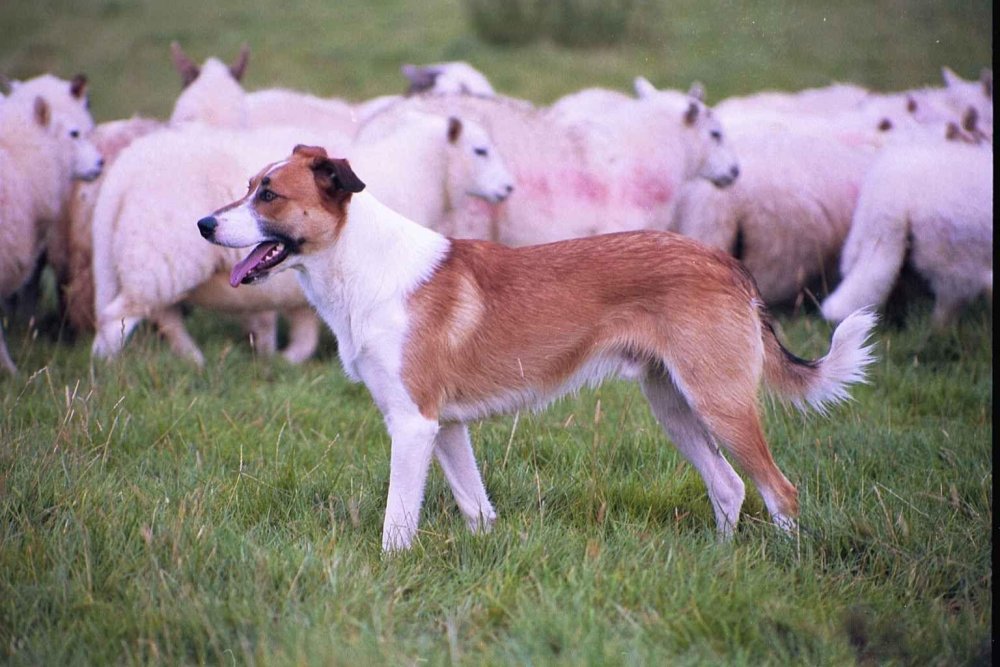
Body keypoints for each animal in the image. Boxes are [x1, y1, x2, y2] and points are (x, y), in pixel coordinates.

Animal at [197, 146, 876, 552]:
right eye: (247, 186)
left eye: (269, 194)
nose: (203, 224)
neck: (364, 266)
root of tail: (726, 262)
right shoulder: (445, 429)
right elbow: (476, 507)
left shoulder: (413, 426)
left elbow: (397, 523)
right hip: (675, 406)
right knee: (730, 488)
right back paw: (720, 561)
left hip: (720, 404)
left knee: (779, 491)